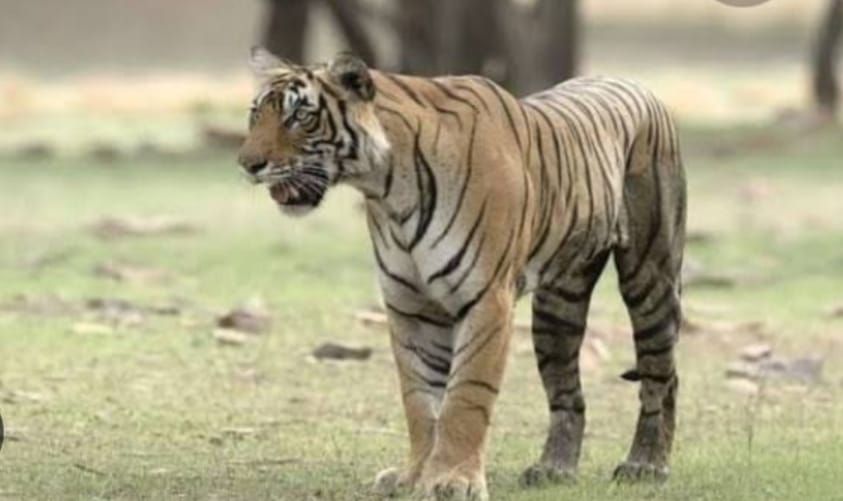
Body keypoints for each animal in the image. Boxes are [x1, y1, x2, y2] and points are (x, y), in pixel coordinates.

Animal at [237, 47, 686, 501]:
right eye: (255, 114)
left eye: (300, 116)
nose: (248, 164)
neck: (389, 189)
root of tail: (634, 84)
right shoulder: (411, 305)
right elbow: (420, 399)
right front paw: (414, 475)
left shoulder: (486, 299)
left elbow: (465, 397)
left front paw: (454, 480)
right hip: (558, 307)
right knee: (567, 395)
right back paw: (553, 469)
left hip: (649, 277)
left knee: (661, 376)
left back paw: (645, 465)